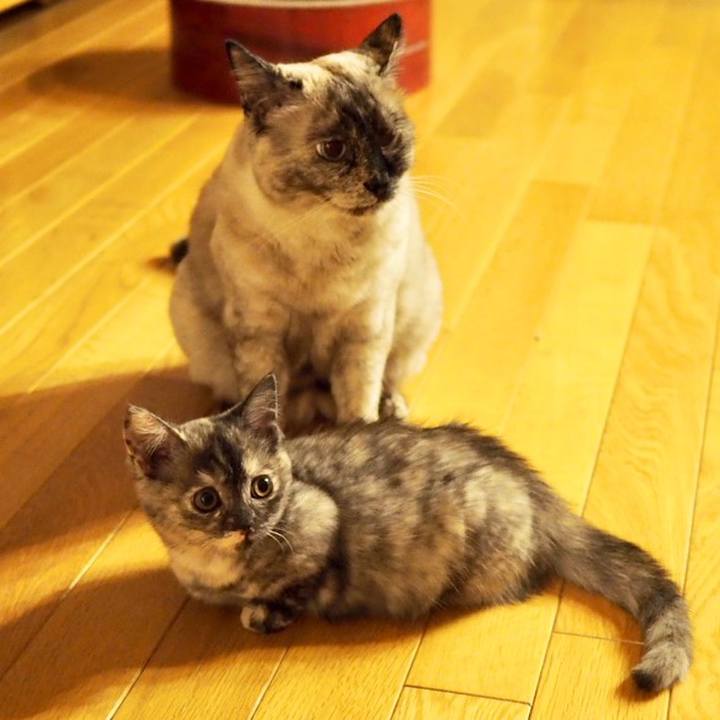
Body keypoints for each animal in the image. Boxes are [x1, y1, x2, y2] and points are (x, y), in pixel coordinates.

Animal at [123, 374, 692, 693]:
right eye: (207, 500)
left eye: (262, 486)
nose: (246, 523)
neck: (213, 568)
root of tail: (544, 500)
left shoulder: (322, 522)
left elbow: (296, 585)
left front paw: (265, 611)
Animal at [169, 14, 442, 429]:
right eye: (333, 149)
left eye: (388, 138)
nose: (380, 181)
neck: (321, 234)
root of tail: (314, 404)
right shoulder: (260, 334)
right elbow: (266, 405)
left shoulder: (364, 330)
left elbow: (359, 406)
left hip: (416, 315)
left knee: (388, 380)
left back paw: (392, 412)